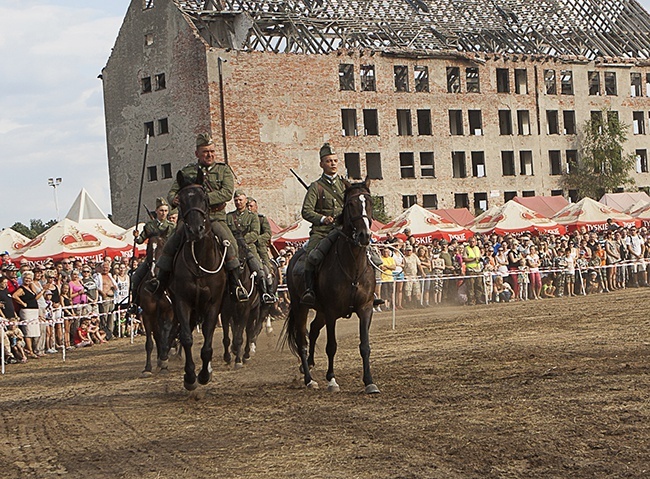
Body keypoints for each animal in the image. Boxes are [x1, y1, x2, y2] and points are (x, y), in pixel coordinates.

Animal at [137, 233, 175, 378]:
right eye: (148, 248)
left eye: (162, 248)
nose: (153, 272)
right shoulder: (147, 315)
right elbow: (150, 342)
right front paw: (148, 368)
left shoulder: (169, 312)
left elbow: (166, 335)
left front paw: (164, 362)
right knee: (158, 336)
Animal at [168, 171, 229, 392]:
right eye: (182, 200)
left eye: (204, 198)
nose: (196, 229)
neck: (199, 262)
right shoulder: (182, 302)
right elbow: (186, 338)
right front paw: (189, 377)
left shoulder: (213, 305)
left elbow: (208, 343)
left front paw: (203, 375)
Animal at [220, 238, 260, 370]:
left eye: (243, 259)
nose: (240, 268)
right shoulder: (225, 312)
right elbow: (227, 338)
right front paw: (227, 357)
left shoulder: (245, 311)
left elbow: (239, 337)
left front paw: (238, 360)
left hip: (253, 312)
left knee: (248, 331)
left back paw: (246, 354)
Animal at [280, 178, 378, 396]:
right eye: (350, 204)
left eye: (369, 202)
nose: (364, 236)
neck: (353, 267)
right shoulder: (332, 312)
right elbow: (331, 346)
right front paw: (332, 380)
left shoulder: (365, 308)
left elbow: (365, 345)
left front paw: (369, 381)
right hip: (301, 307)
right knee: (302, 340)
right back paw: (309, 379)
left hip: (321, 312)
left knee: (314, 330)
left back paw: (308, 365)